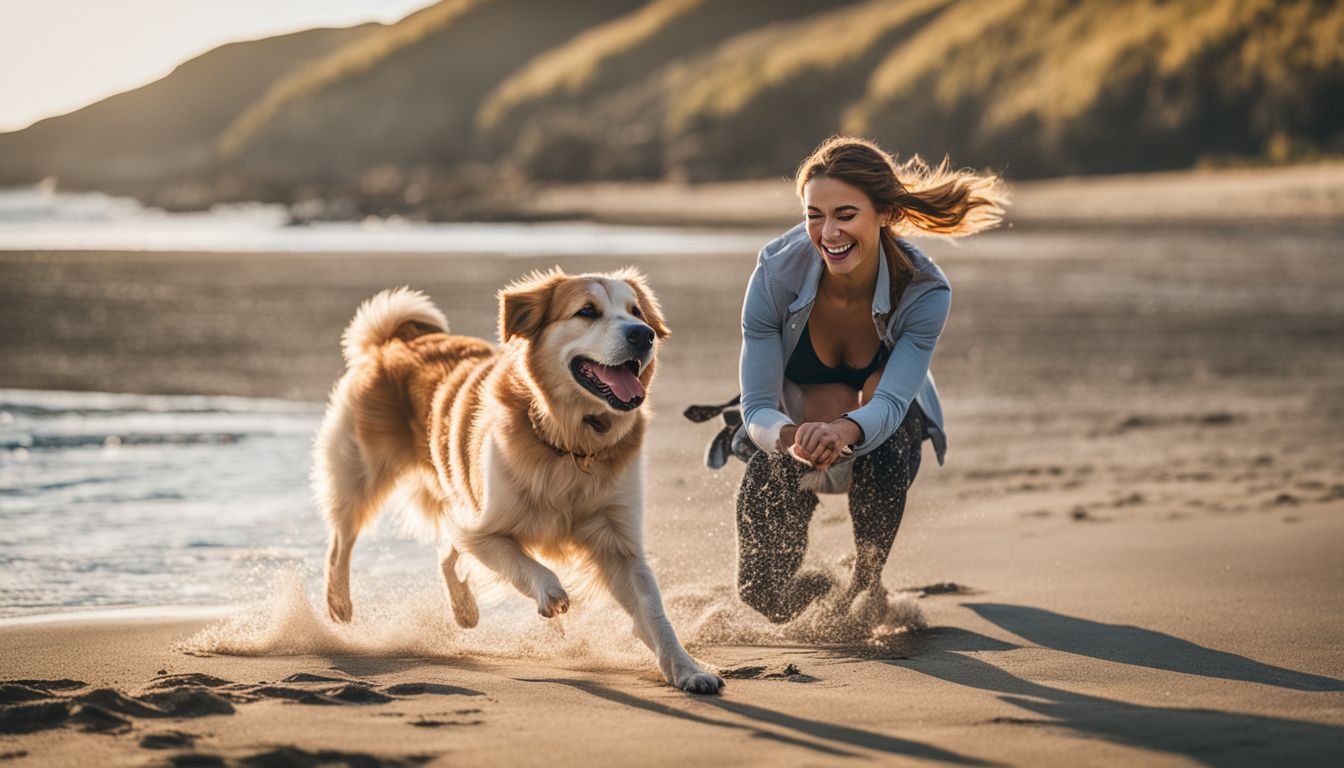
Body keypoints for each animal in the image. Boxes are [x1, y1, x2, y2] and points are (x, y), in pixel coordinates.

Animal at [313, 267, 725, 694]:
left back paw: (465, 610)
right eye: (587, 311)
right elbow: (523, 563)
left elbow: (653, 611)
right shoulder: (484, 528)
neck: (570, 441)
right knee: (341, 541)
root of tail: (394, 340)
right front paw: (551, 595)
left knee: (445, 556)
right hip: (361, 474)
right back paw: (339, 605)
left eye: (636, 312)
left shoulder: (619, 543)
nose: (643, 335)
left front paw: (687, 669)